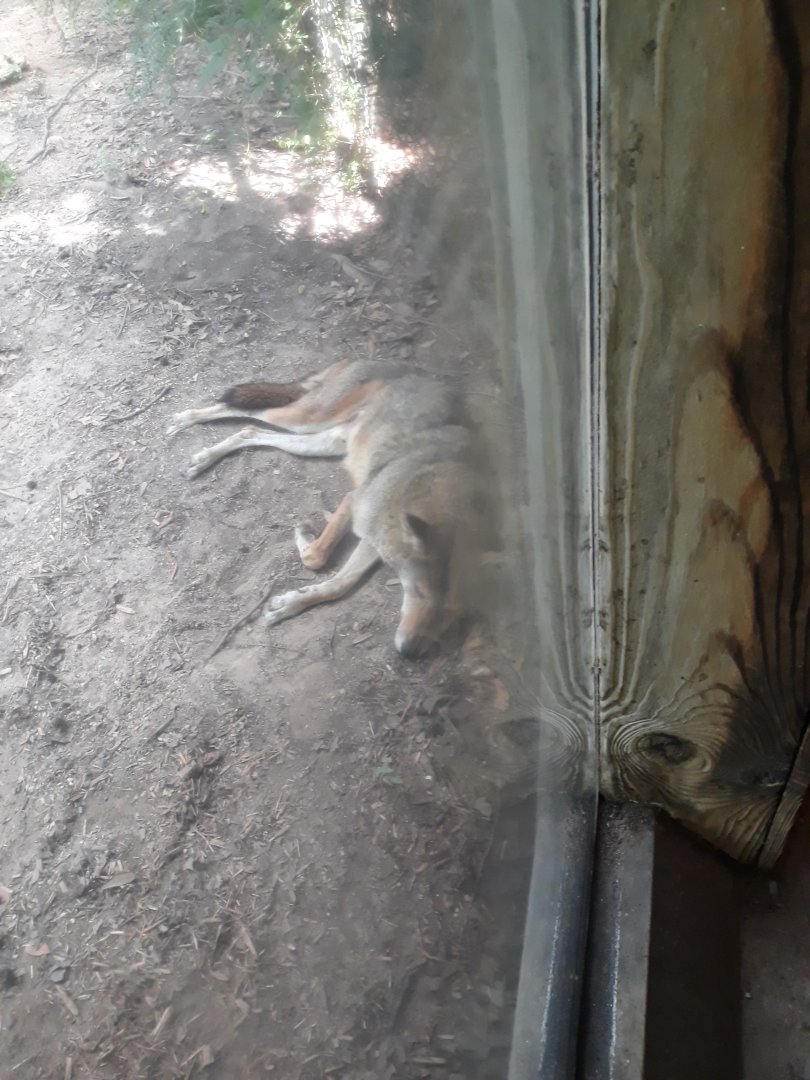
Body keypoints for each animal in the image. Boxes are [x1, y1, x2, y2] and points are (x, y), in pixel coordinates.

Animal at [167, 359, 492, 657]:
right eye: (418, 592)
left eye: (453, 614)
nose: (408, 653)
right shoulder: (355, 502)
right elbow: (317, 557)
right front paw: (304, 539)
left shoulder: (375, 538)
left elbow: (340, 583)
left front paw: (291, 603)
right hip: (304, 419)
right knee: (244, 411)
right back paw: (185, 421)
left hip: (317, 441)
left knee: (250, 430)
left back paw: (204, 457)